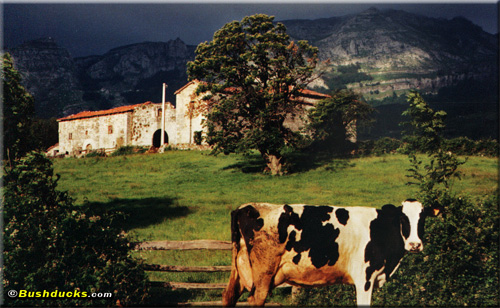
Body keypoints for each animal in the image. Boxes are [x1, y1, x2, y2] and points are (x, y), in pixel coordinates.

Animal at [223, 200, 442, 306]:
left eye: (422, 218)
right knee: (255, 300)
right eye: (402, 218)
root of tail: (245, 208)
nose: (415, 244)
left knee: (228, 296)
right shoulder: (364, 279)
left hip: (239, 271)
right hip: (263, 274)